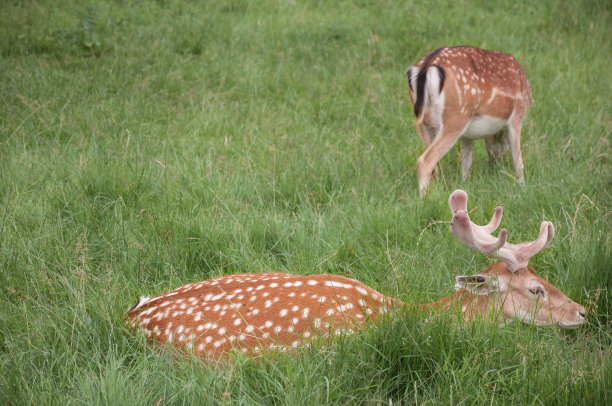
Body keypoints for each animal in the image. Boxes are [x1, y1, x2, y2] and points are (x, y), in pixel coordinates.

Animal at [406, 46, 532, 197]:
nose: (496, 163)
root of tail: (427, 66)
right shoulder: (517, 117)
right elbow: (518, 160)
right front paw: (523, 188)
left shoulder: (467, 137)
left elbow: (466, 163)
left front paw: (463, 185)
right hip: (455, 117)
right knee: (425, 161)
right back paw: (423, 199)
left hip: (423, 121)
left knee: (434, 163)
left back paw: (436, 191)